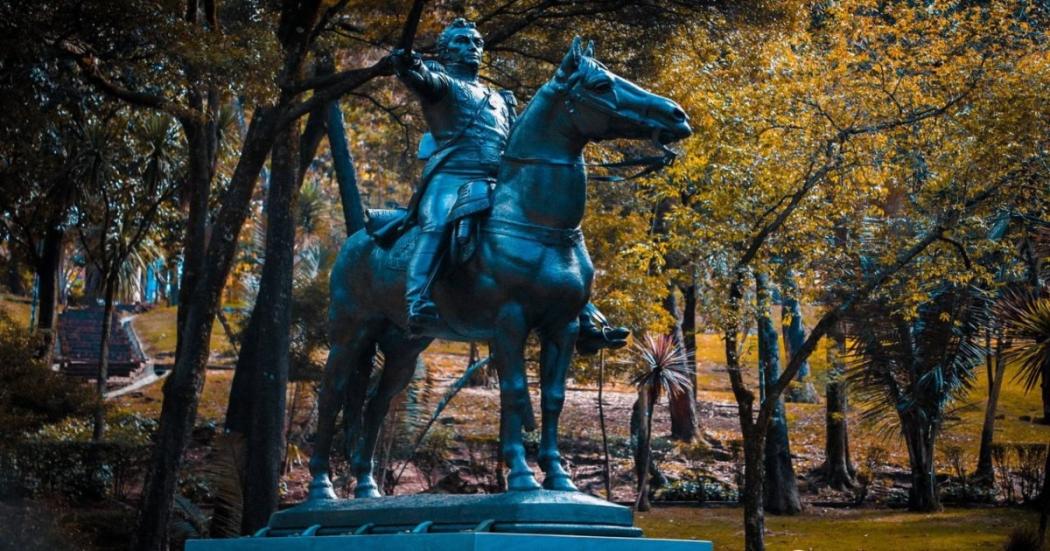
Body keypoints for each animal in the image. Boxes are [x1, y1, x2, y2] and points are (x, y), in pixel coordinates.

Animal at [306, 36, 692, 499]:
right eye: (601, 85)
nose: (677, 115)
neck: (535, 222)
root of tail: (356, 239)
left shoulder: (561, 326)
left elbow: (551, 397)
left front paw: (557, 476)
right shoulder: (510, 323)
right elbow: (515, 393)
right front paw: (523, 476)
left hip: (404, 344)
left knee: (377, 403)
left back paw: (366, 486)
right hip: (351, 334)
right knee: (331, 396)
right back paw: (321, 488)